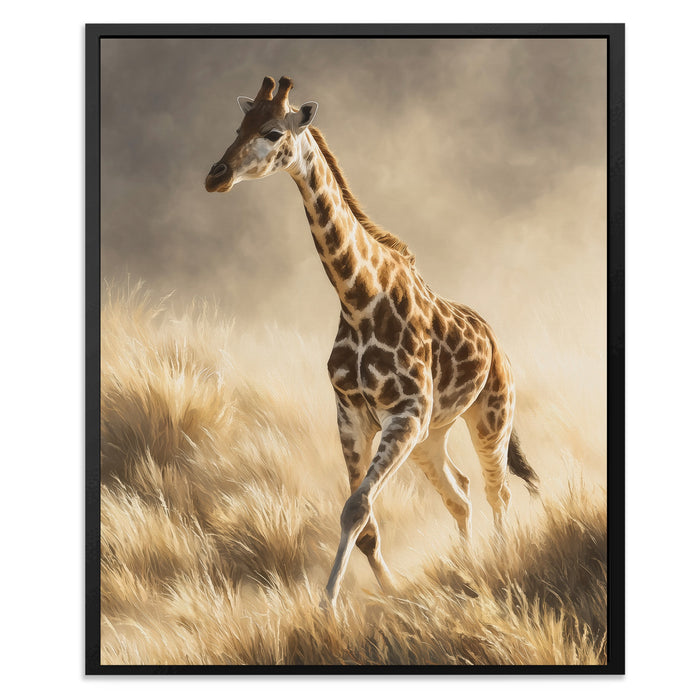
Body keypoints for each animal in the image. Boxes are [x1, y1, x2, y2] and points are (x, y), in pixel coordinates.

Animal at [205, 76, 539, 607]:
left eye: (274, 132)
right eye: (239, 126)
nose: (215, 176)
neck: (359, 299)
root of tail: (495, 341)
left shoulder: (404, 415)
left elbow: (356, 508)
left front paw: (327, 605)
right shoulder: (353, 414)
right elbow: (363, 523)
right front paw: (388, 593)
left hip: (490, 417)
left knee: (496, 490)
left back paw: (499, 561)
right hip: (432, 435)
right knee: (460, 493)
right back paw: (465, 564)